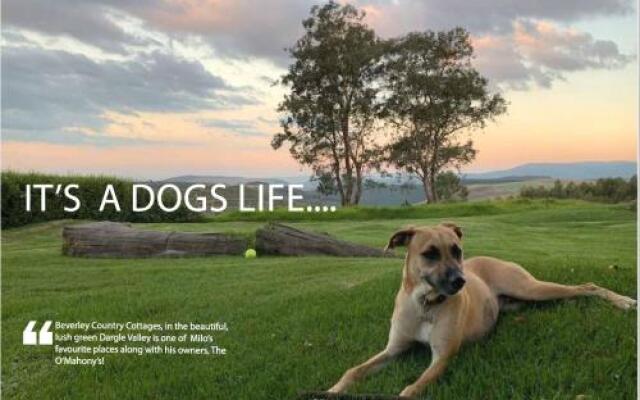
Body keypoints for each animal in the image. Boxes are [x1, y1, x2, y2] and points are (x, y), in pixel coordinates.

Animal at [330, 223, 636, 398]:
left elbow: (411, 388)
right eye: (430, 254)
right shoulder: (393, 350)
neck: (425, 304)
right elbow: (353, 371)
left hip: (530, 287)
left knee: (587, 285)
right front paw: (333, 390)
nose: (460, 281)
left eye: (457, 250)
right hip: (523, 300)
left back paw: (624, 302)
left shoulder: (442, 358)